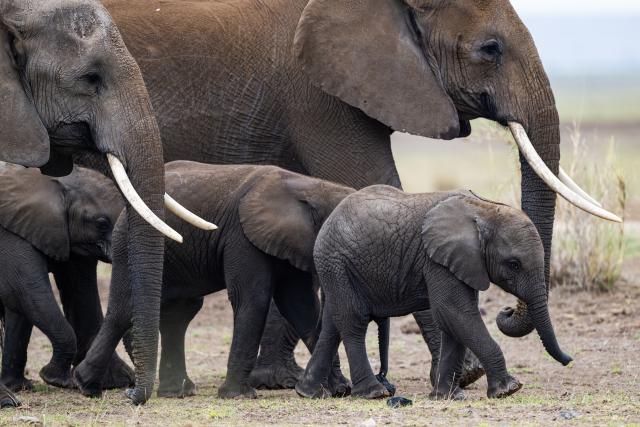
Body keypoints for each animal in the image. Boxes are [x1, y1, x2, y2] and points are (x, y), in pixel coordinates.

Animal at [0, 165, 132, 390]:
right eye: (101, 224)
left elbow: (21, 304)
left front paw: (18, 386)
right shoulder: (10, 234)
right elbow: (24, 290)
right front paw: (57, 380)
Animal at [296, 187, 573, 400]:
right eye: (514, 264)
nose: (568, 361)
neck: (483, 209)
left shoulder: (461, 263)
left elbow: (453, 320)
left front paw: (448, 396)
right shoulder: (437, 259)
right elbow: (455, 312)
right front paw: (508, 390)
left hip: (337, 269)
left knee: (333, 324)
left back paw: (309, 392)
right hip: (337, 262)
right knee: (353, 321)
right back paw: (374, 393)